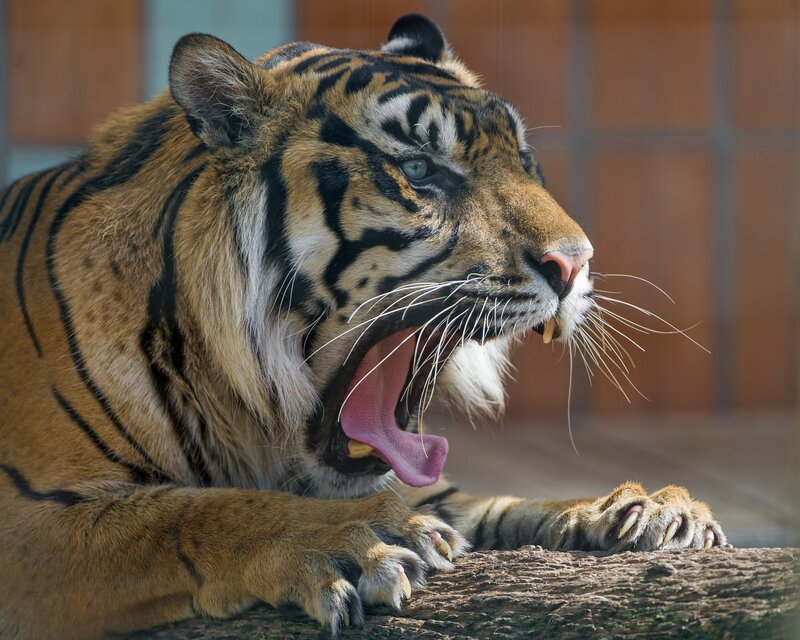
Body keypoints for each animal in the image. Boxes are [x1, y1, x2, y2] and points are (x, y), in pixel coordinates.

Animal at [0, 13, 728, 639]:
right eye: (418, 171)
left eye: (525, 161)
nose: (576, 263)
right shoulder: (30, 522)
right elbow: (190, 514)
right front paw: (364, 540)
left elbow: (501, 506)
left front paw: (648, 513)